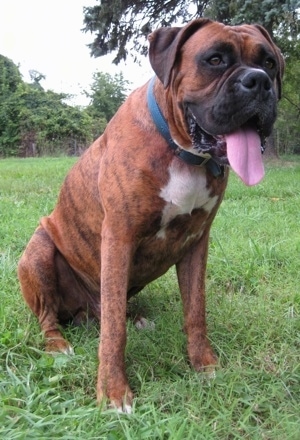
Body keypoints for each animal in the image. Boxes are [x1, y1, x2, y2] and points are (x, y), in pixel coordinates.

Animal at [17, 19, 284, 412]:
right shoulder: (118, 237)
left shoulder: (196, 242)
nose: (259, 81)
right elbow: (114, 331)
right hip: (38, 250)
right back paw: (58, 344)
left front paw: (204, 365)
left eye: (268, 63)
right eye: (215, 59)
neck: (182, 151)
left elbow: (195, 310)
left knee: (106, 309)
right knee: (55, 316)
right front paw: (113, 391)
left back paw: (135, 319)